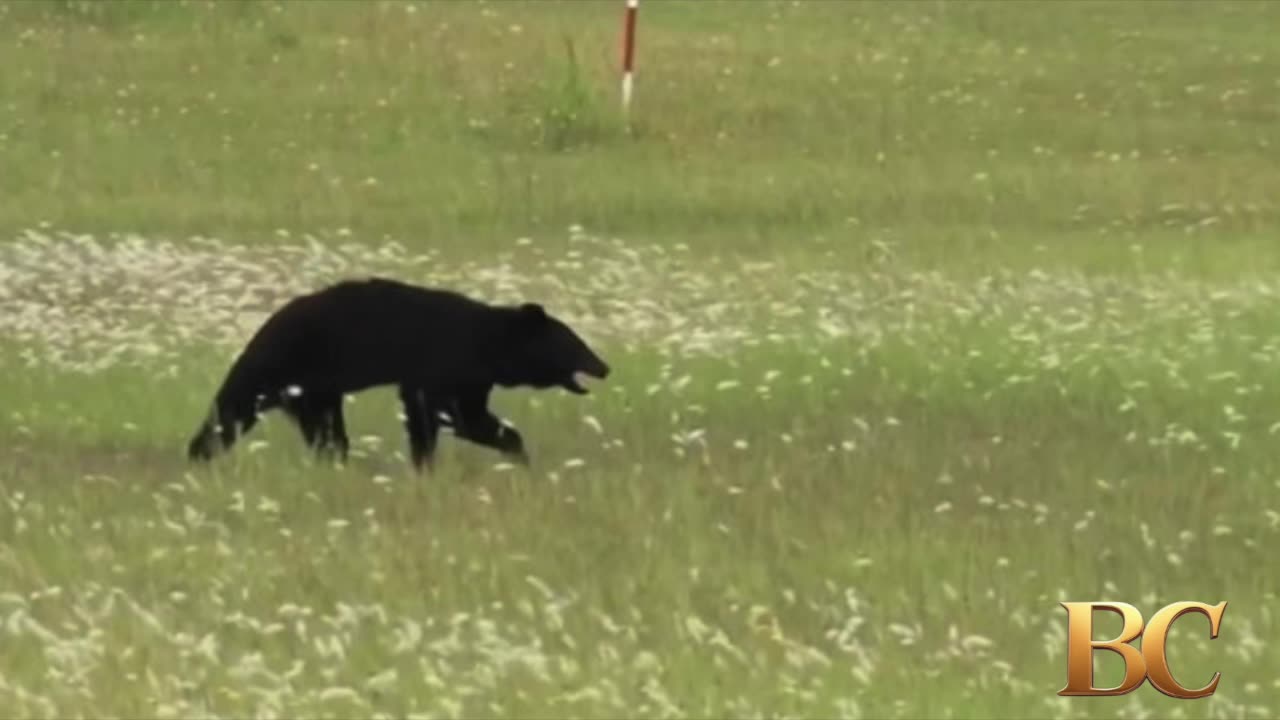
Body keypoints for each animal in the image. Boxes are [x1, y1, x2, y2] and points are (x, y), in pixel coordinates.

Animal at [185, 277, 610, 469]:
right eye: (576, 343)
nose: (604, 367)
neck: (490, 342)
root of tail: (265, 325)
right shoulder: (446, 364)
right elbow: (442, 412)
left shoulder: (472, 379)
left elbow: (467, 416)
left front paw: (515, 450)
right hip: (287, 367)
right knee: (233, 409)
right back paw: (199, 453)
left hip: (313, 389)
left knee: (325, 429)